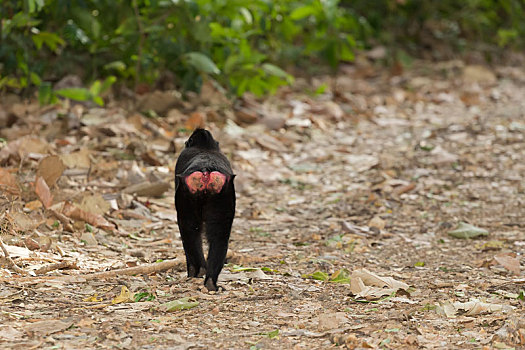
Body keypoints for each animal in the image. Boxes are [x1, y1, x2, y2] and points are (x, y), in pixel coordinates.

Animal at [174, 128, 235, 290]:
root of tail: (206, 171)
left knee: (189, 230)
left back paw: (197, 270)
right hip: (222, 198)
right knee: (219, 237)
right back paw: (210, 281)